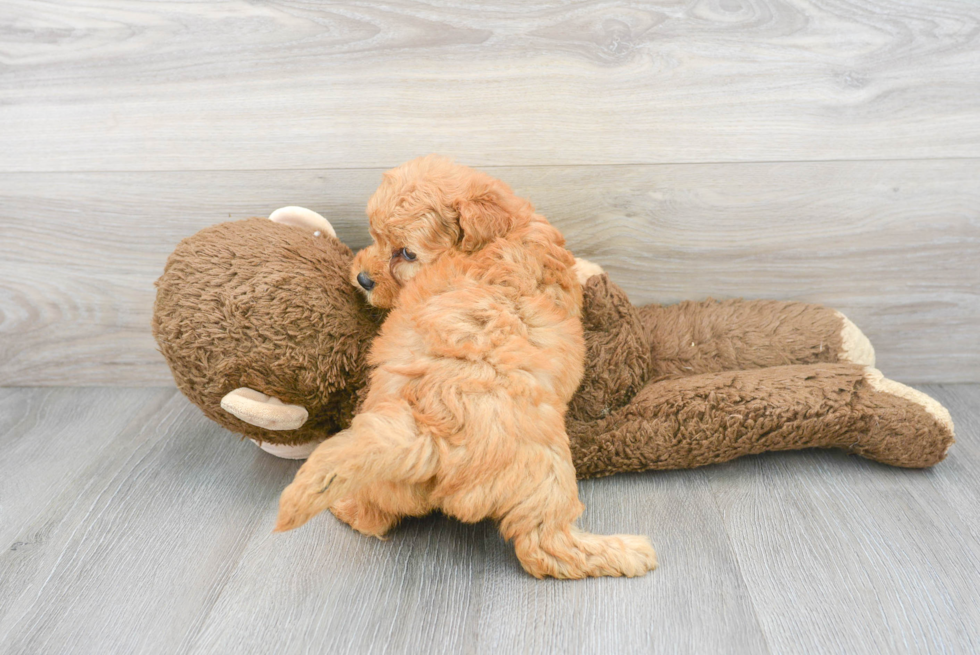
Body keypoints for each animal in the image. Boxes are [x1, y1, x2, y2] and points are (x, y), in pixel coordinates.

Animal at [276, 155, 660, 580]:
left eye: (406, 253)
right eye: (376, 237)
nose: (362, 279)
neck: (502, 234)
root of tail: (429, 430)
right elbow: (576, 269)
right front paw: (592, 269)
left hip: (385, 473)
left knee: (372, 515)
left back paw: (344, 505)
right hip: (545, 474)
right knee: (546, 546)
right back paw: (628, 552)